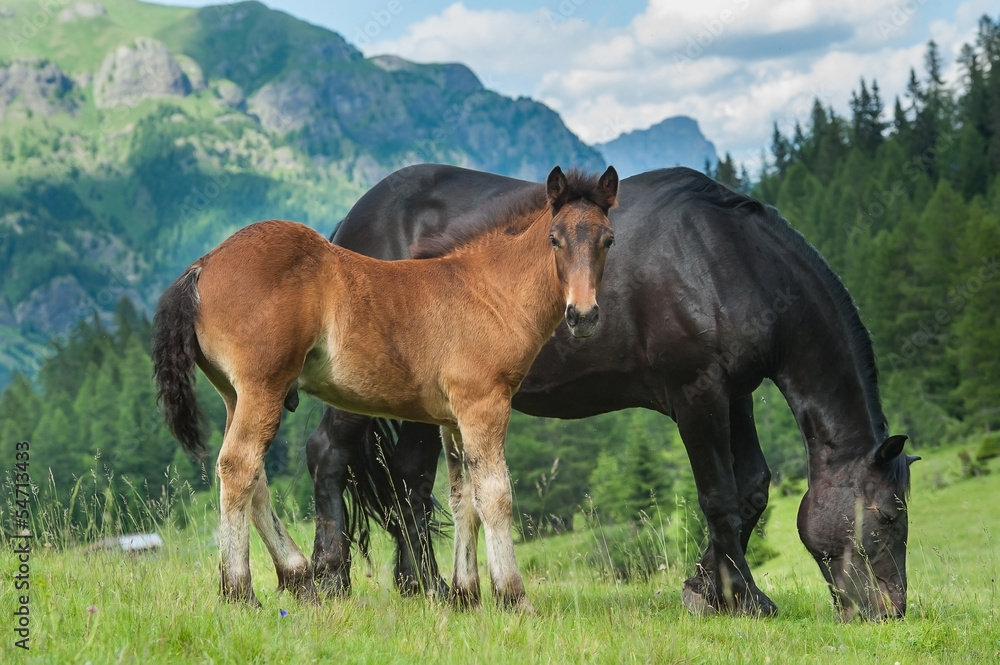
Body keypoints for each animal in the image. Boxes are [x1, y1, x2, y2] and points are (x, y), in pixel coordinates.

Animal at [150, 165, 616, 608]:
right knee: (239, 465)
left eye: (608, 240)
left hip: (235, 393)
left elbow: (462, 497)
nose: (583, 316)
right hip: (263, 386)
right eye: (554, 239)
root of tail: (203, 265)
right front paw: (513, 597)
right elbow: (495, 495)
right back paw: (241, 591)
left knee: (253, 475)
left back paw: (298, 578)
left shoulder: (452, 418)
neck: (487, 290)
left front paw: (465, 596)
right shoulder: (484, 404)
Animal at [302, 163, 916, 620]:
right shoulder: (696, 395)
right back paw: (327, 579)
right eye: (889, 515)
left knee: (410, 480)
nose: (888, 611)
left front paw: (708, 589)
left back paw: (427, 587)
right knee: (327, 454)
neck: (725, 258)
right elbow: (718, 495)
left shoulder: (734, 394)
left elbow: (751, 491)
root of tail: (347, 224)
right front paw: (742, 598)